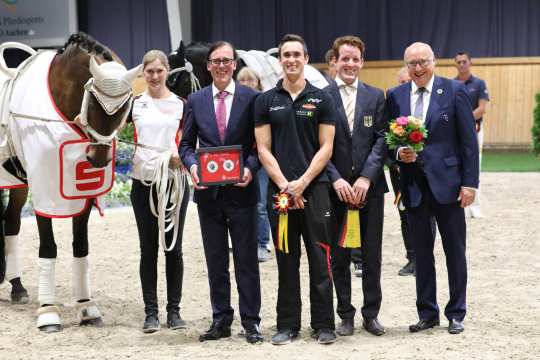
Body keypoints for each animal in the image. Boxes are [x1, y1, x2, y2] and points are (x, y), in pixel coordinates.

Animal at [0, 32, 141, 334]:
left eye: (126, 105)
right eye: (94, 102)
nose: (98, 158)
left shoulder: (81, 191)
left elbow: (81, 246)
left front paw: (87, 307)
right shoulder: (44, 187)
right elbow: (48, 247)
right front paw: (48, 313)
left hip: (19, 184)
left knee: (12, 221)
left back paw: (17, 287)